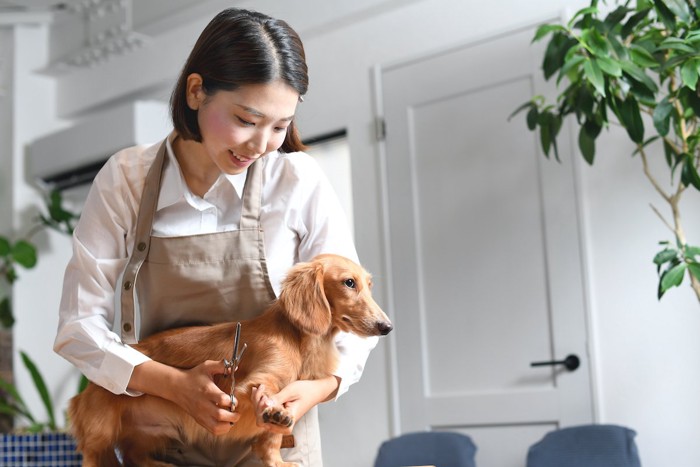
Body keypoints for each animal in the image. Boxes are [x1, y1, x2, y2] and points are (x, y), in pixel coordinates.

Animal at [70, 256, 394, 467]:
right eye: (349, 283)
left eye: (369, 285)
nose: (387, 327)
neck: (299, 340)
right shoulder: (257, 380)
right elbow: (265, 392)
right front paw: (274, 410)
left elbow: (271, 441)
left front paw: (277, 459)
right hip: (100, 432)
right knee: (95, 454)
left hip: (150, 434)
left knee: (134, 455)